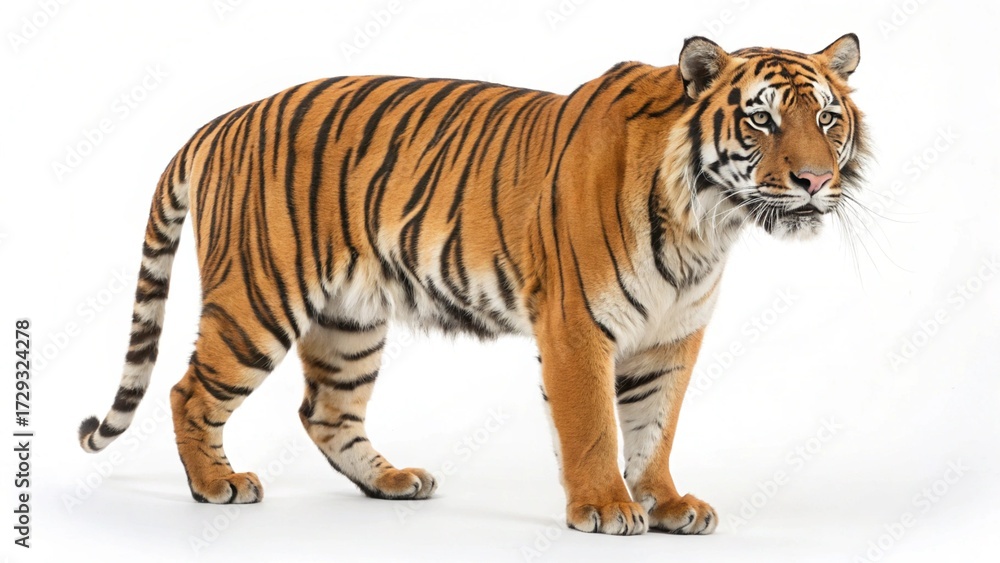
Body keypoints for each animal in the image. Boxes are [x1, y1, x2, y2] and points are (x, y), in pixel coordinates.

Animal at [78, 33, 868, 536]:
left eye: (827, 118)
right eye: (761, 120)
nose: (814, 180)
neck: (707, 221)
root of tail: (222, 120)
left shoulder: (672, 336)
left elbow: (655, 428)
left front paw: (666, 503)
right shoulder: (576, 326)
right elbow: (593, 426)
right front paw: (607, 508)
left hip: (350, 321)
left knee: (326, 412)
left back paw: (391, 481)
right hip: (258, 300)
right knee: (189, 391)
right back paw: (217, 485)